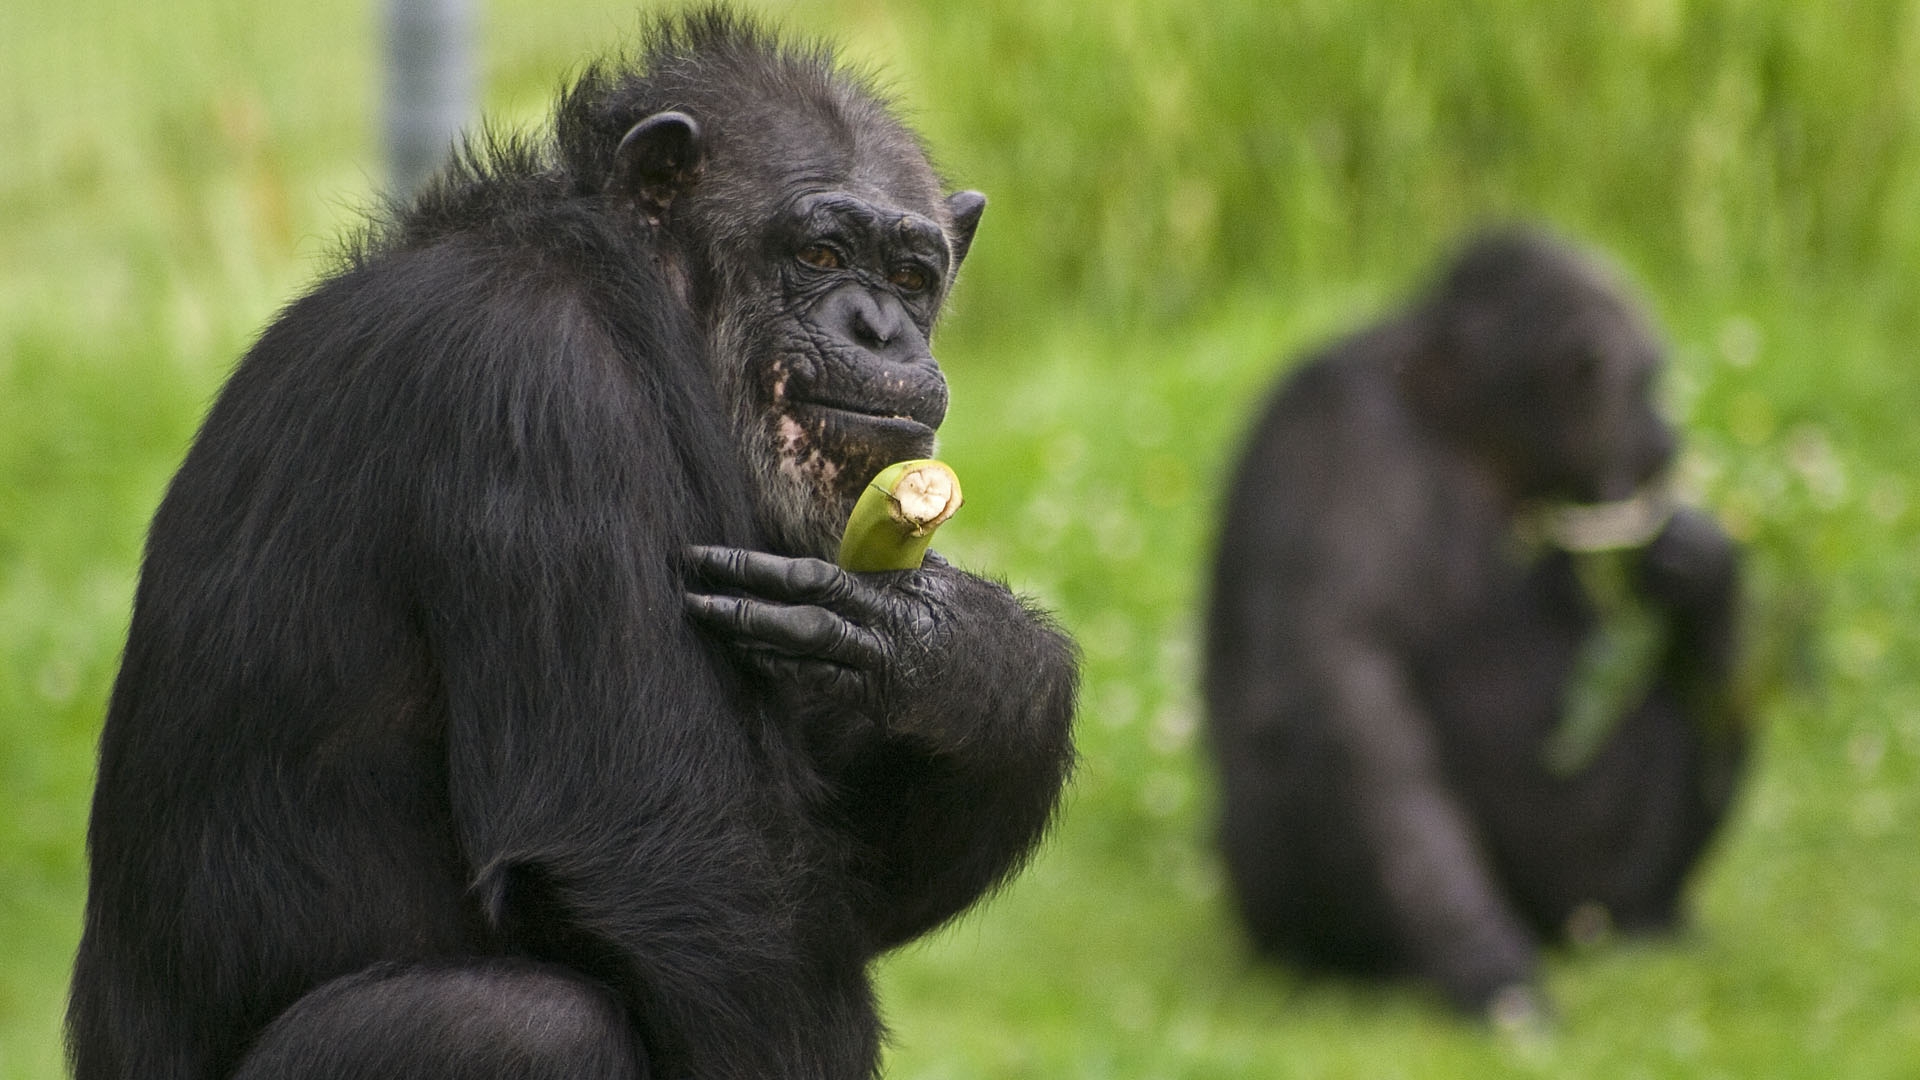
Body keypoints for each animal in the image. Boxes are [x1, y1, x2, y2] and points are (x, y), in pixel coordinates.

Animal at [71, 10, 1082, 1076]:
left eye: (909, 275)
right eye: (818, 255)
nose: (882, 327)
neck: (646, 303)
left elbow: (852, 871)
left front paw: (961, 653)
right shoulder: (543, 393)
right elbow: (677, 857)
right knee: (526, 1027)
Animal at [1205, 224, 1751, 1014]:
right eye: (1647, 383)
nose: (1666, 438)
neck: (1475, 433)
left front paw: (1701, 560)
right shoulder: (1334, 437)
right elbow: (1349, 687)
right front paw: (1478, 954)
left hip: (1594, 902)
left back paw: (1653, 919)